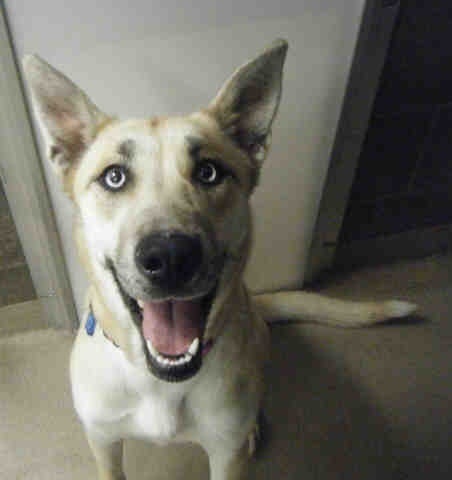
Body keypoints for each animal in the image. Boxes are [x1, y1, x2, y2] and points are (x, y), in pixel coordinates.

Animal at [23, 40, 415, 480]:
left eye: (209, 172)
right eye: (114, 177)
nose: (170, 256)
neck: (159, 383)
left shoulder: (226, 456)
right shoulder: (102, 441)